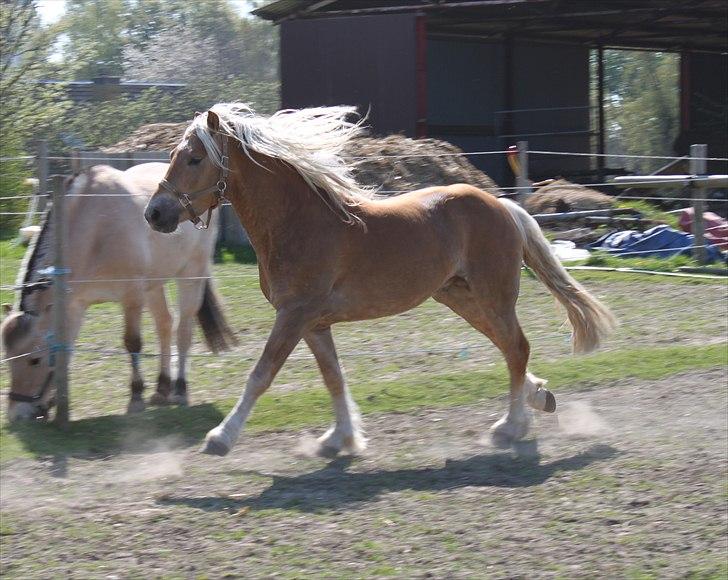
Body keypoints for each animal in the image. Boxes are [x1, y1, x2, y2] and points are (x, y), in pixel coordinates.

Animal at [1, 163, 235, 422]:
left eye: (34, 360)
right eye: (7, 359)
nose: (16, 414)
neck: (94, 228)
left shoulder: (132, 296)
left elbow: (132, 343)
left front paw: (136, 398)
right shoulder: (75, 305)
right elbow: (67, 345)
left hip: (191, 274)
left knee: (183, 329)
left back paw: (180, 390)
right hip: (153, 285)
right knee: (165, 324)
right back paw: (162, 388)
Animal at [142, 105, 616, 458]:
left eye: (195, 158)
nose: (155, 212)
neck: (299, 221)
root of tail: (505, 207)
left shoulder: (294, 315)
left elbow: (261, 374)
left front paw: (220, 437)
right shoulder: (313, 323)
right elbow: (333, 377)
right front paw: (339, 439)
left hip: (492, 296)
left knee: (516, 348)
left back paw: (510, 427)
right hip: (460, 297)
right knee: (510, 348)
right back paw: (538, 399)